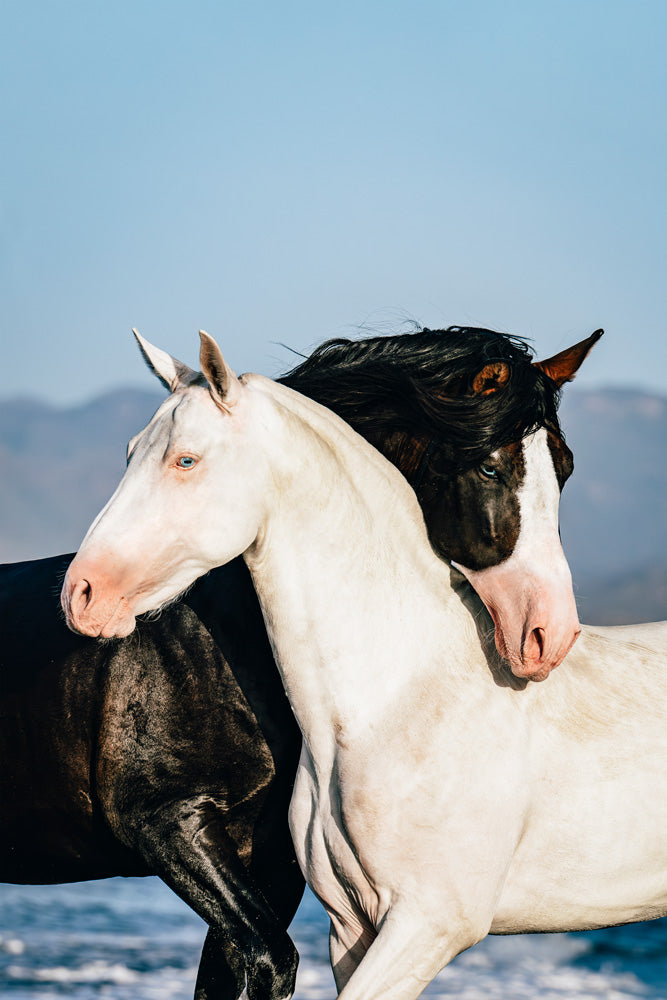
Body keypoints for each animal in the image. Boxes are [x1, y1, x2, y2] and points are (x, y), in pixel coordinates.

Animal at [61, 330, 667, 1000]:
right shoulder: (353, 926)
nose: (83, 593)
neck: (396, 698)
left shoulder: (431, 924)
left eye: (186, 461)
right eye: (129, 454)